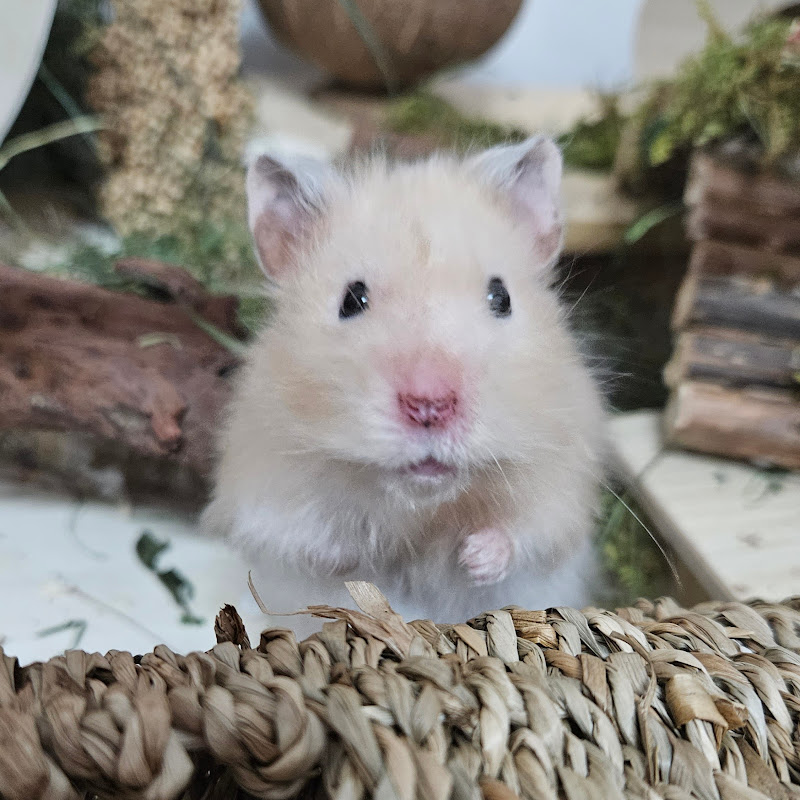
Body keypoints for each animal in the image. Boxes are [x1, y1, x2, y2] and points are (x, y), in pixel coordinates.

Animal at [203, 136, 607, 627]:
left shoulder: (561, 482)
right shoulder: (262, 482)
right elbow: (302, 538)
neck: (420, 505)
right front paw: (351, 556)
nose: (429, 406)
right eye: (351, 299)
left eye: (501, 297)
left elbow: (524, 534)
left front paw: (474, 557)